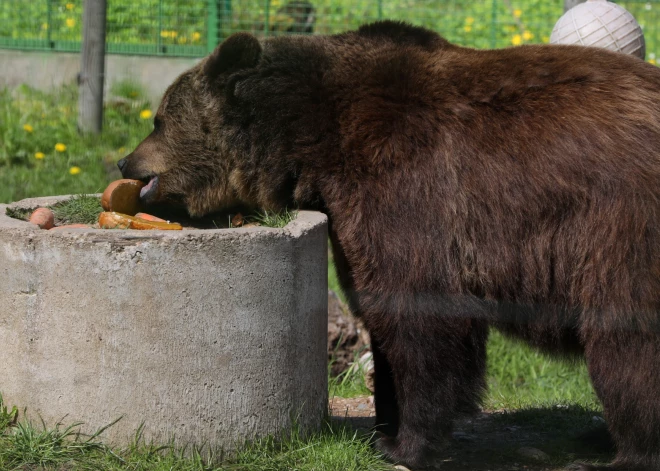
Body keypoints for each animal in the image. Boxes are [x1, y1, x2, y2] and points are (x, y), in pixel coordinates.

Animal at [118, 21, 660, 471]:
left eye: (158, 119)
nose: (124, 161)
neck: (310, 140)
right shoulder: (351, 220)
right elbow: (377, 313)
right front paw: (382, 428)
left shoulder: (406, 186)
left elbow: (417, 315)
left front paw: (407, 445)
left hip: (619, 228)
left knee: (626, 341)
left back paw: (618, 453)